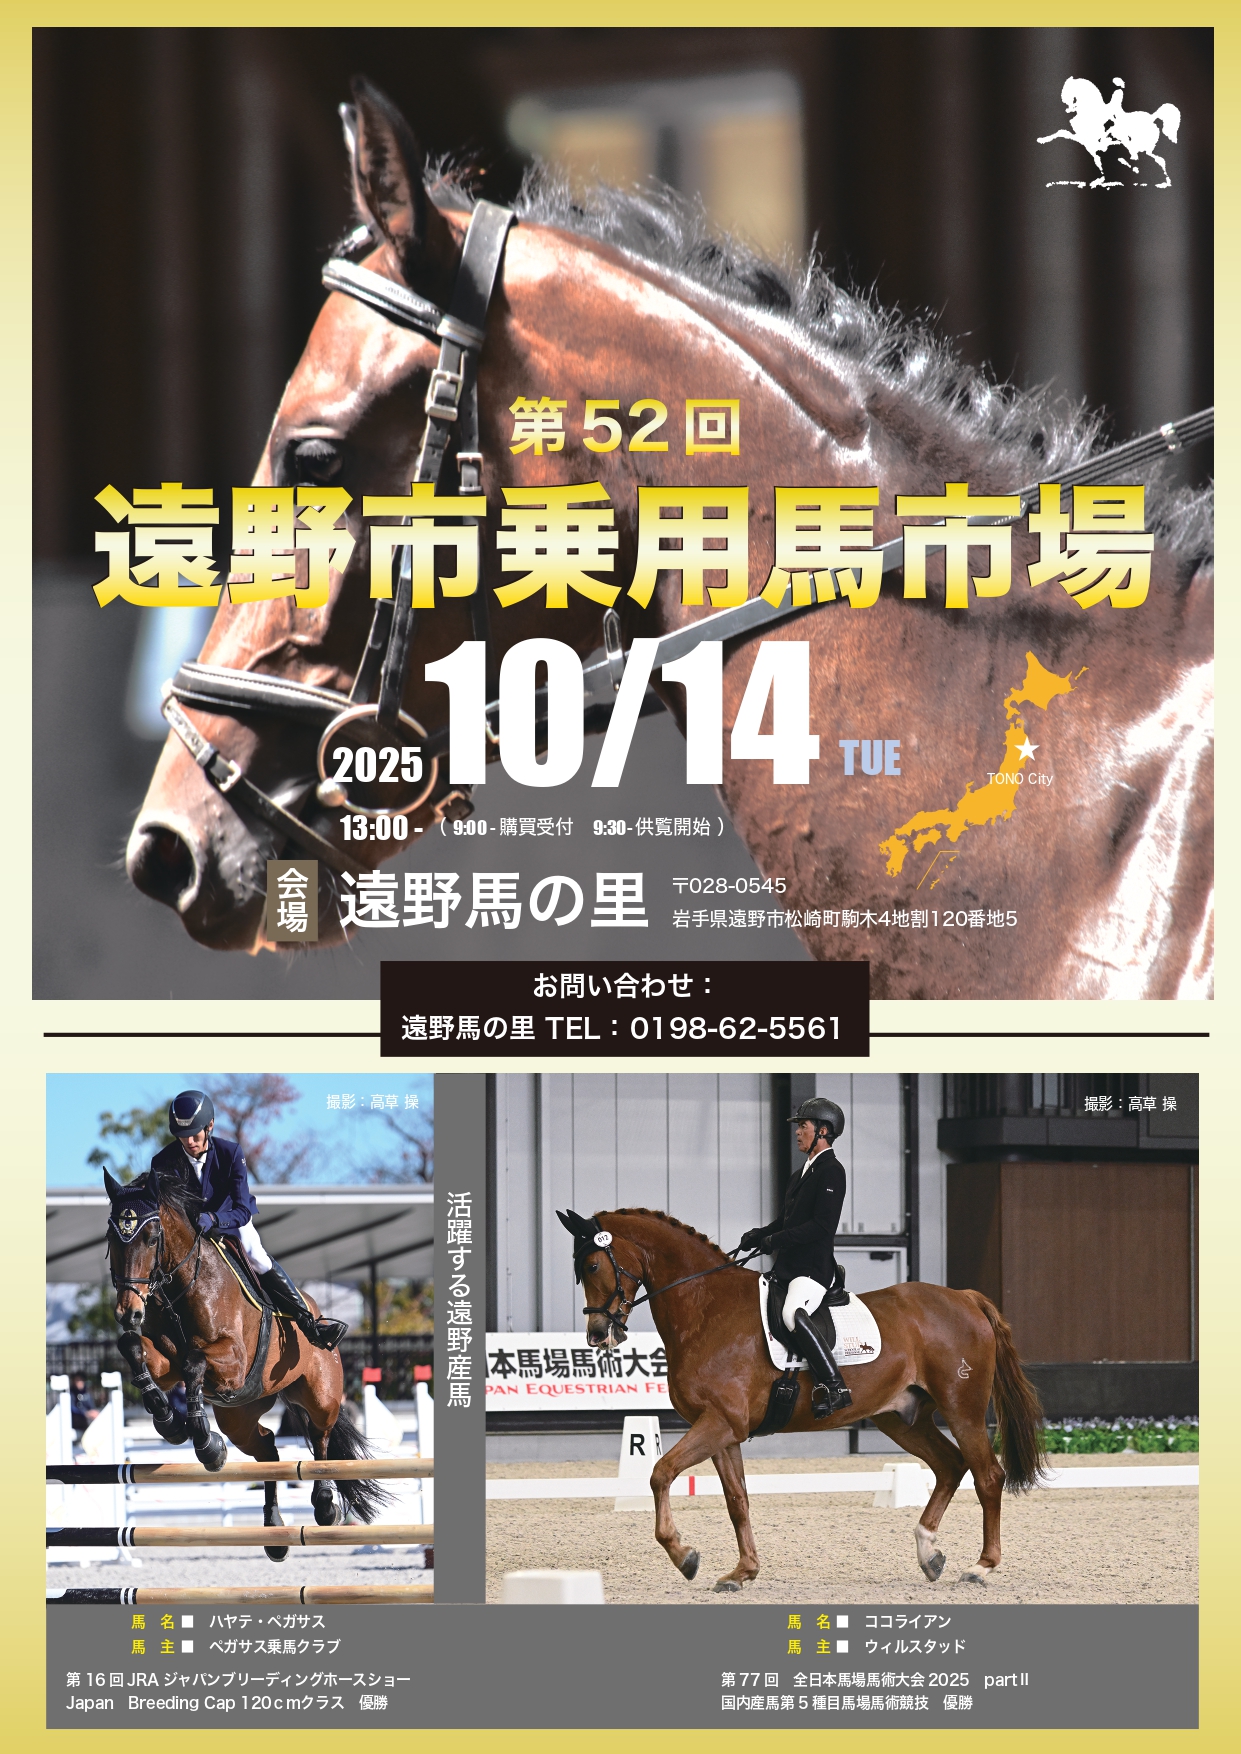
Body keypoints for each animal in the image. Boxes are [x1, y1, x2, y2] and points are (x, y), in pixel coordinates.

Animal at [105, 1167, 386, 1560]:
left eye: (151, 1237)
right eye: (112, 1237)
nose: (127, 1312)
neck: (182, 1287)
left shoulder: (233, 1363)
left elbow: (194, 1361)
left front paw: (206, 1443)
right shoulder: (166, 1361)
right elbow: (133, 1347)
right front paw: (169, 1421)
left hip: (320, 1396)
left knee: (321, 1437)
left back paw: (324, 1504)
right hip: (240, 1415)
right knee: (268, 1449)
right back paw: (274, 1531)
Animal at [557, 1206, 1046, 1591]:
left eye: (594, 1266)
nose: (599, 1334)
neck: (706, 1308)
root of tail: (965, 1298)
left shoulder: (719, 1423)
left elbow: (660, 1473)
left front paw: (685, 1556)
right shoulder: (722, 1428)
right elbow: (737, 1500)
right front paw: (742, 1571)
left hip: (961, 1408)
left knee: (987, 1476)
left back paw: (981, 1566)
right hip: (901, 1418)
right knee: (950, 1466)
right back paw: (929, 1554)